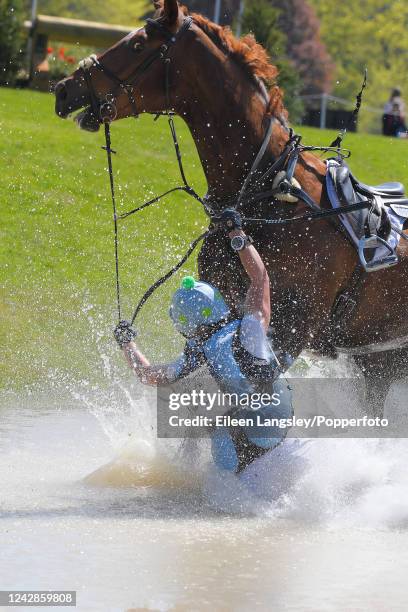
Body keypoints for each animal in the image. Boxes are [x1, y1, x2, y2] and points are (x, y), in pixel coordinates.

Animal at [54, 0, 408, 416]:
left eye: (139, 45)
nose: (63, 89)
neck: (270, 196)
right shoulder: (227, 310)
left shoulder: (289, 329)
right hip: (380, 360)